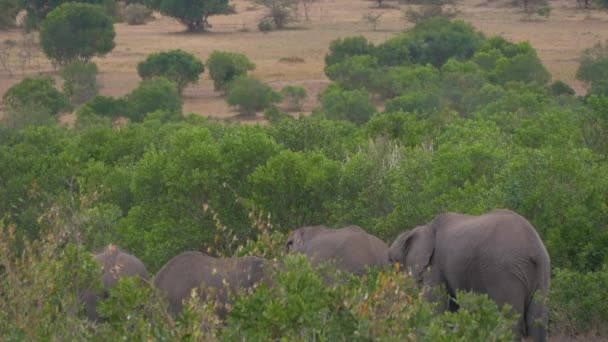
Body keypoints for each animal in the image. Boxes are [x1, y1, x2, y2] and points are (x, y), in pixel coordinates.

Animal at [390, 208, 552, 342]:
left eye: (392, 261)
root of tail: (534, 247)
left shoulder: (435, 265)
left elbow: (434, 307)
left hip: (505, 272)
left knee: (508, 321)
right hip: (541, 270)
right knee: (537, 320)